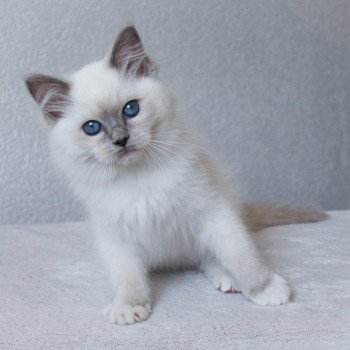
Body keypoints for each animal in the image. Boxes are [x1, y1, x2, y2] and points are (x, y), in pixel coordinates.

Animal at [26, 25, 326, 326]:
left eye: (130, 109)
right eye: (92, 128)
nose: (120, 140)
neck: (138, 177)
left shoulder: (211, 212)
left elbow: (240, 255)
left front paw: (264, 288)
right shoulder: (117, 237)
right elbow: (128, 277)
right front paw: (129, 307)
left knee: (208, 256)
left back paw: (228, 279)